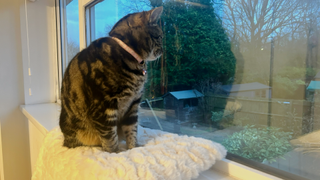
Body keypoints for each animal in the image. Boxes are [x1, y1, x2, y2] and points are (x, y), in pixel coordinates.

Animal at [59, 6, 162, 153]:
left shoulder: (133, 104)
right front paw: (115, 152)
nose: (163, 50)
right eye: (160, 36)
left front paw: (133, 148)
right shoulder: (103, 106)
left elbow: (132, 130)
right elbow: (109, 136)